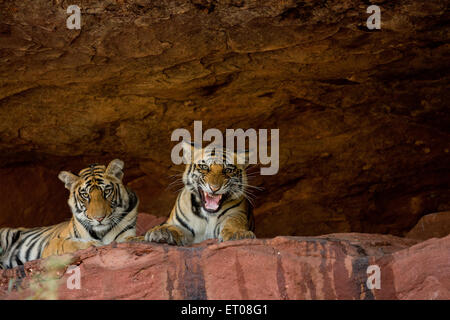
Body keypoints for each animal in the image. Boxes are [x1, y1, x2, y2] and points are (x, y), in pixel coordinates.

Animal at [0, 159, 139, 268]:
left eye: (107, 191)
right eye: (85, 195)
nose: (99, 218)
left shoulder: (126, 235)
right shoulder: (52, 244)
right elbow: (68, 243)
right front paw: (94, 244)